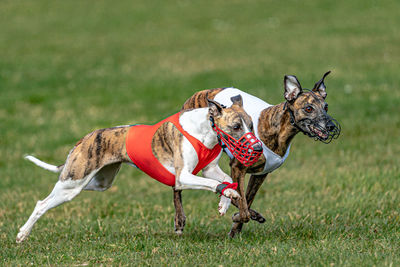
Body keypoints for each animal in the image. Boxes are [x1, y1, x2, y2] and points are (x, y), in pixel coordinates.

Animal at [17, 96, 264, 243]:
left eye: (251, 125)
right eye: (236, 127)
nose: (258, 148)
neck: (205, 129)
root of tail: (85, 138)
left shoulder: (208, 169)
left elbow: (225, 179)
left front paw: (225, 201)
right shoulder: (182, 177)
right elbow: (214, 184)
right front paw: (228, 194)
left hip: (98, 182)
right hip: (73, 182)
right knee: (41, 204)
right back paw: (22, 234)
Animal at [177, 71, 340, 237]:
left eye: (326, 107)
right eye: (308, 108)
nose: (331, 126)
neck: (278, 130)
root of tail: (197, 94)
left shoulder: (261, 174)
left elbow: (247, 200)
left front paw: (235, 230)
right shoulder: (238, 168)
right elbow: (242, 205)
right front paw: (239, 215)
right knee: (178, 187)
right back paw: (179, 220)